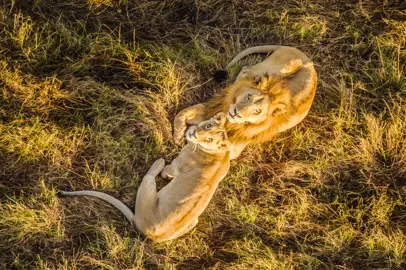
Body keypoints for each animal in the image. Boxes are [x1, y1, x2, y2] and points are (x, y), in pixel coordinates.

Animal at [60, 112, 232, 243]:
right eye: (208, 126)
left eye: (209, 139)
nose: (194, 133)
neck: (221, 153)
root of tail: (143, 230)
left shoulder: (177, 166)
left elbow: (169, 171)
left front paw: (164, 170)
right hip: (193, 221)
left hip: (147, 186)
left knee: (149, 175)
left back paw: (158, 162)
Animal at [173, 44, 316, 159]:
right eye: (248, 97)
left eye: (257, 111)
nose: (236, 113)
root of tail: (307, 59)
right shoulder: (211, 108)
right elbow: (181, 113)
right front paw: (179, 133)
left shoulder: (234, 148)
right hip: (276, 68)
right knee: (246, 69)